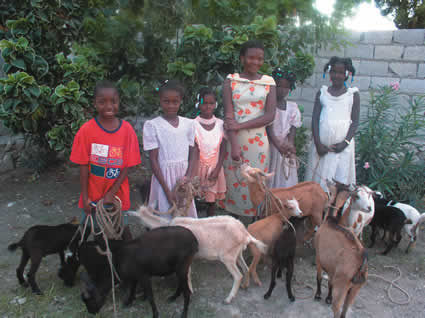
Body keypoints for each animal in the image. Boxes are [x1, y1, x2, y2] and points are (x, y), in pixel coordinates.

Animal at [60, 225, 198, 318]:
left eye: (91, 300)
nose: (91, 312)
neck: (118, 264)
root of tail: (195, 240)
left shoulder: (143, 275)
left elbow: (150, 297)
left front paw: (155, 314)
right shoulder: (134, 276)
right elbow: (132, 288)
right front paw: (128, 302)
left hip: (182, 265)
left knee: (187, 291)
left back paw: (184, 313)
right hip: (180, 267)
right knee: (182, 283)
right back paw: (173, 297)